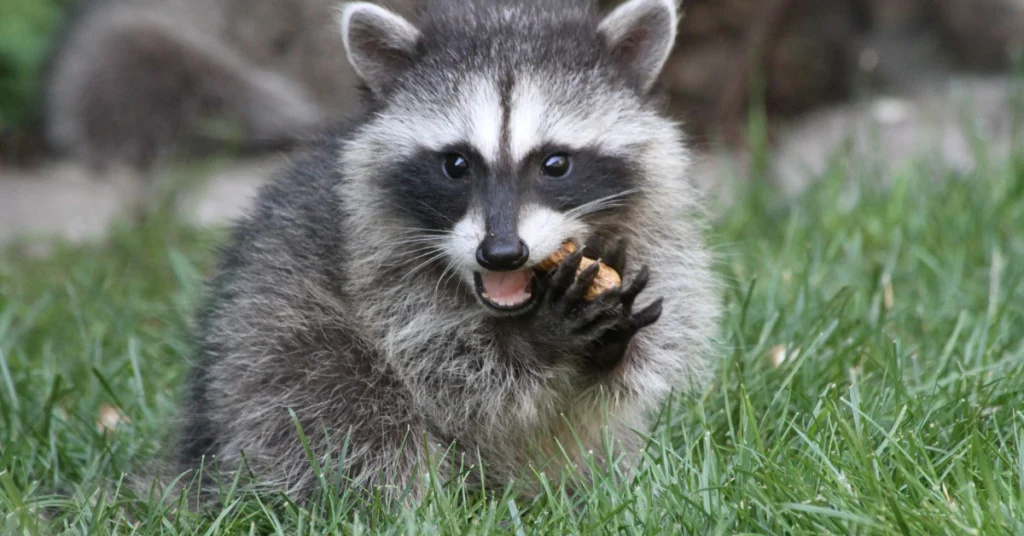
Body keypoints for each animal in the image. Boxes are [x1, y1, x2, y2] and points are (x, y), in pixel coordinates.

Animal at [171, 0, 720, 503]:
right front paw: (537, 339)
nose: (502, 253)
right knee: (346, 410)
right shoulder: (372, 266)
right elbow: (447, 369)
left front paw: (612, 337)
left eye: (556, 163)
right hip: (266, 349)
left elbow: (650, 349)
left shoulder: (654, 234)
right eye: (456, 164)